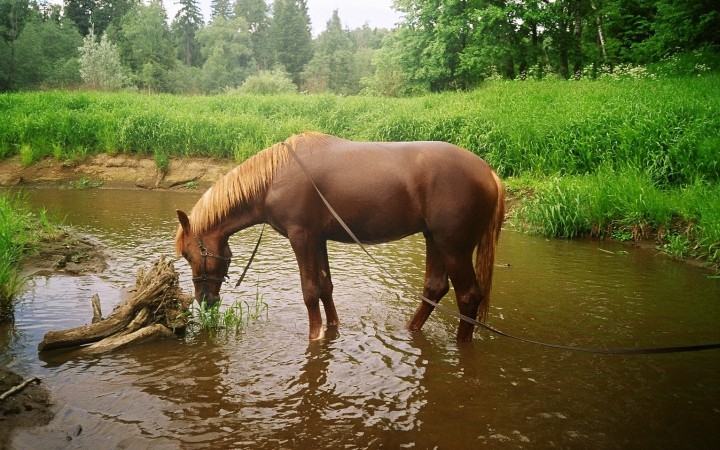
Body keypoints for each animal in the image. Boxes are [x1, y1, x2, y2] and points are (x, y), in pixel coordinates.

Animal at [176, 133, 504, 342]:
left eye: (189, 254)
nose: (204, 300)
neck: (273, 179)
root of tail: (489, 173)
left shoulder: (301, 237)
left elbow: (310, 291)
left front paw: (315, 336)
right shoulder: (317, 239)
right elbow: (325, 287)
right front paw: (332, 328)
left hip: (454, 247)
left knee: (468, 297)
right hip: (434, 240)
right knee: (434, 289)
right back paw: (411, 331)